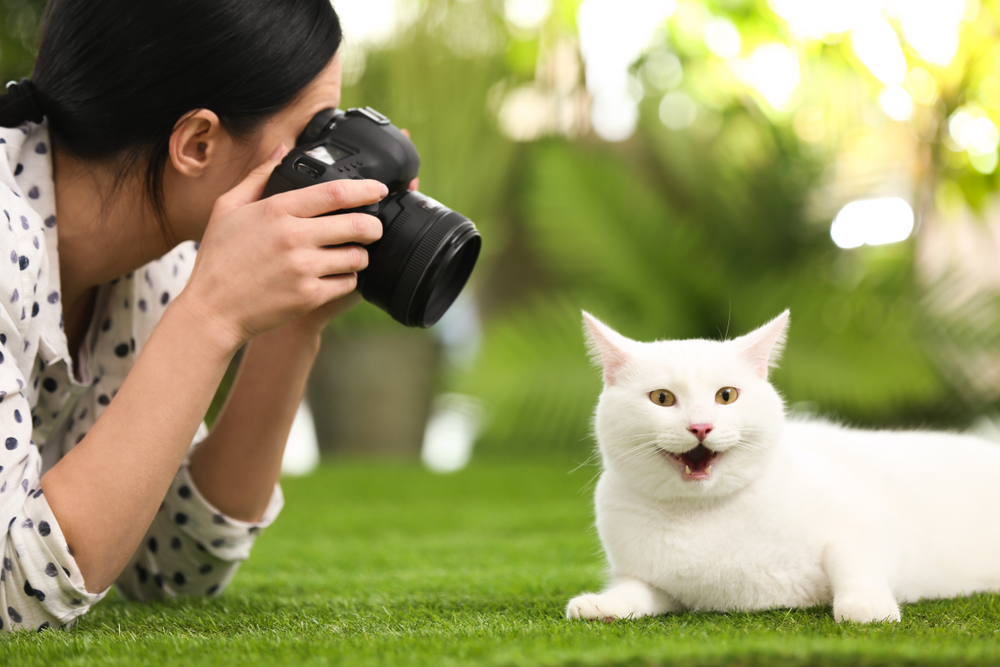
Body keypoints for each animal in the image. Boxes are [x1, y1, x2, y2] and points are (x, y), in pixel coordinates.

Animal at [568, 310, 1000, 624]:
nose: (700, 426)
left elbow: (853, 561)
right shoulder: (651, 581)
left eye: (726, 396)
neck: (702, 516)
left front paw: (866, 607)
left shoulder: (870, 522)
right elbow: (634, 592)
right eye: (662, 398)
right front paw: (602, 605)